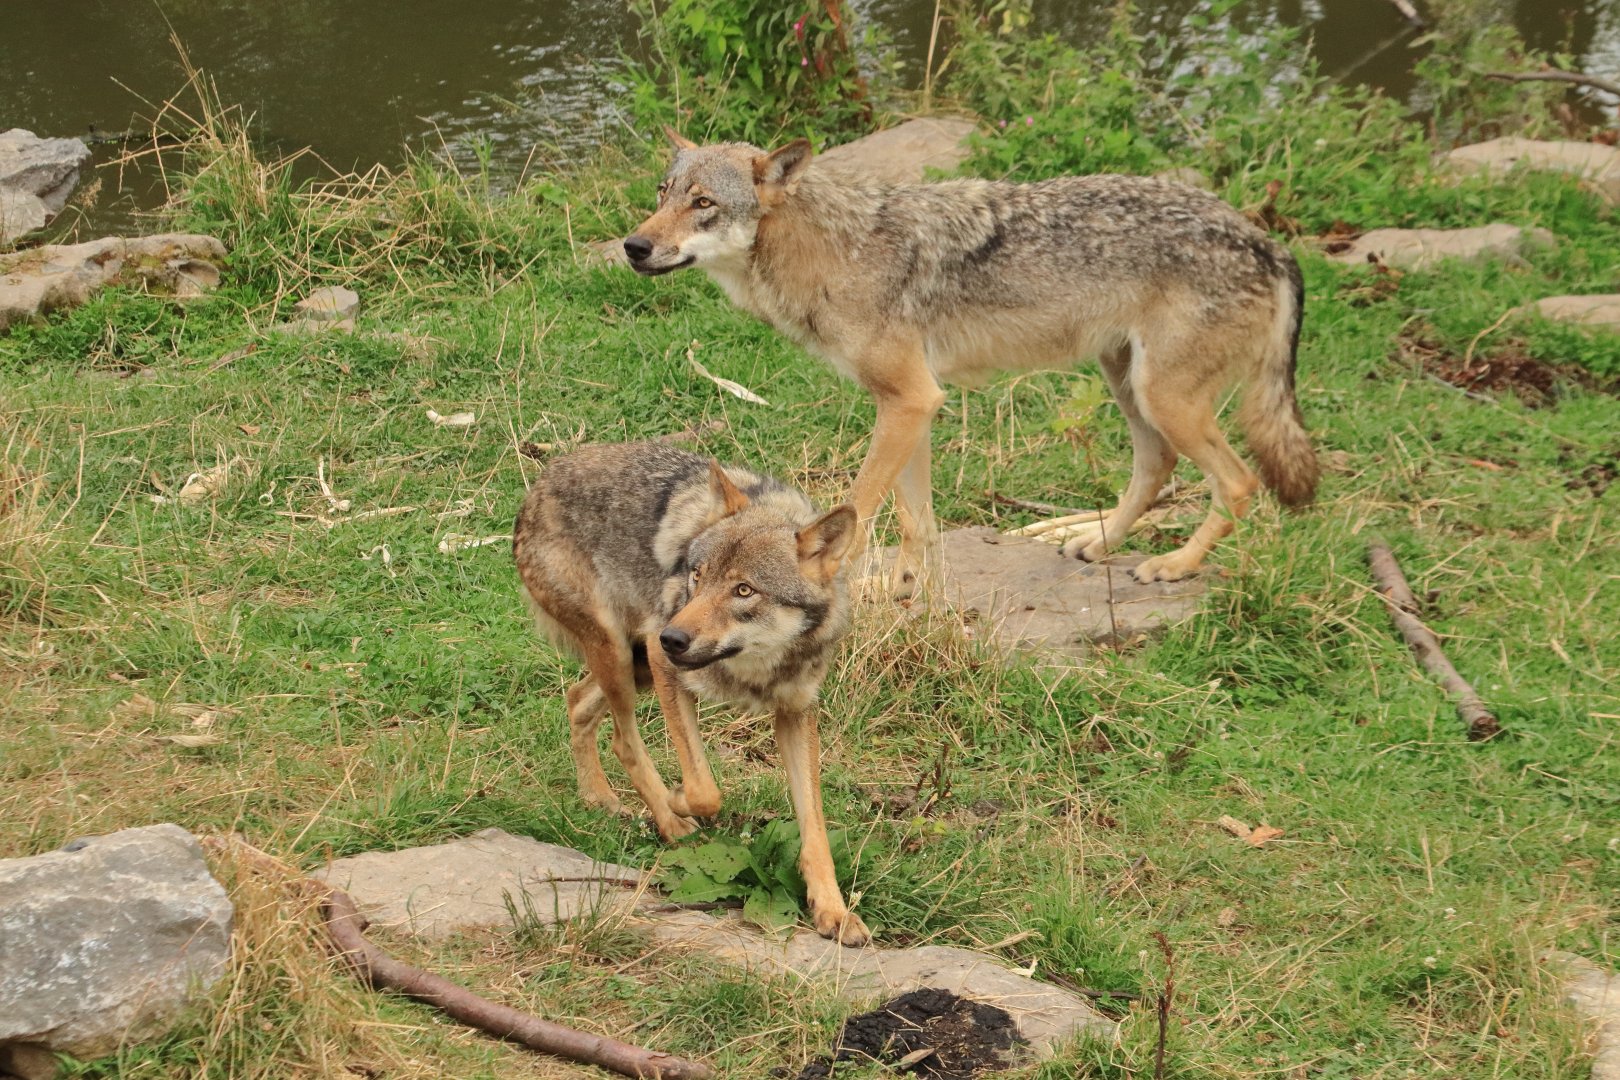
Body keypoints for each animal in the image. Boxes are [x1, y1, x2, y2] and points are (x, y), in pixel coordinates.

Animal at [512, 441, 869, 945]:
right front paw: (680, 798)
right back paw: (670, 821)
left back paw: (598, 797)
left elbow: (814, 828)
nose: (673, 637)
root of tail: (542, 480)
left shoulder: (796, 713)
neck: (753, 667)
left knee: (577, 701)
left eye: (744, 590)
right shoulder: (668, 669)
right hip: (627, 656)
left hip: (633, 665)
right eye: (696, 576)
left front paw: (833, 912)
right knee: (623, 740)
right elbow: (705, 789)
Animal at [623, 133, 1318, 596]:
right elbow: (918, 522)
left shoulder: (909, 401)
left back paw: (1175, 566)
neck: (835, 252)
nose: (634, 246)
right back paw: (1096, 544)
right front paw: (909, 595)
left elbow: (863, 508)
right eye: (663, 193)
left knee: (1239, 483)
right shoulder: (909, 405)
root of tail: (1267, 241)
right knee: (1156, 466)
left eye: (704, 204)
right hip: (1132, 388)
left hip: (1164, 399)